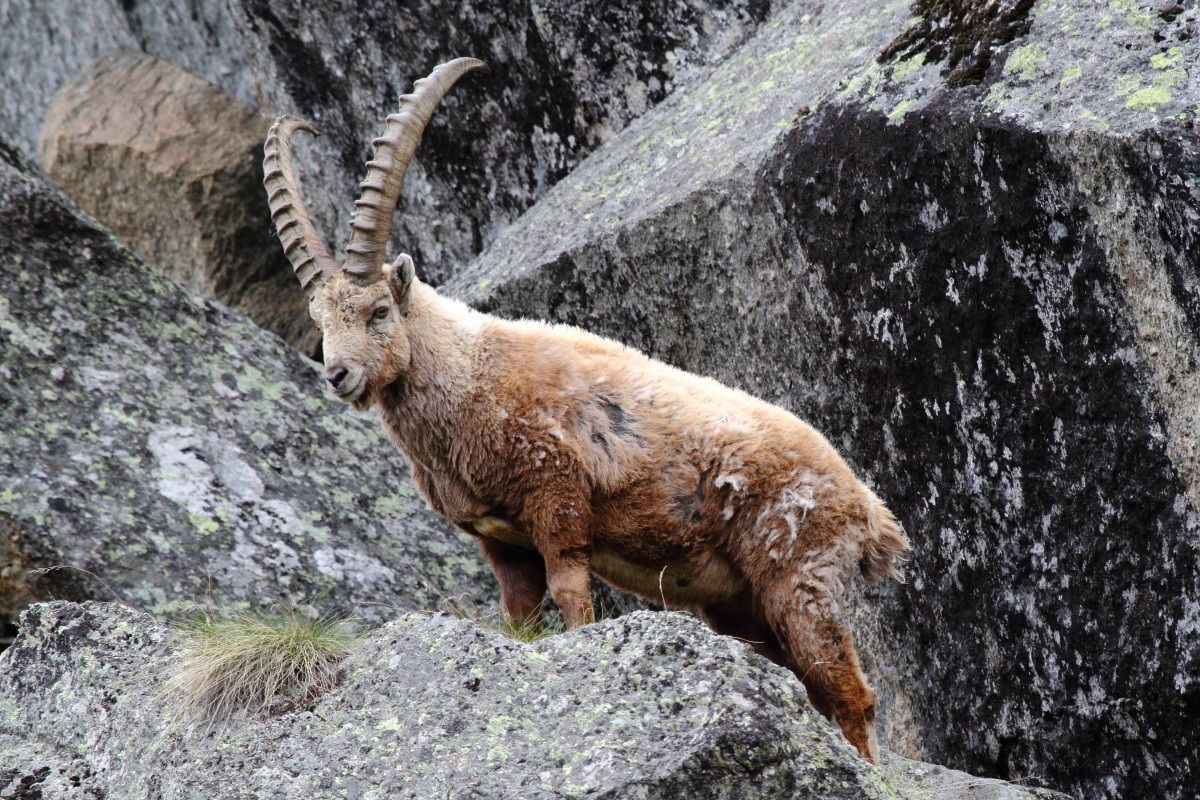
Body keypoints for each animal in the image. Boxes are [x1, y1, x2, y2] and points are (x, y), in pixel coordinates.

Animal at [262, 58, 909, 762]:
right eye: (321, 321)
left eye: (379, 311)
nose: (338, 375)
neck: (470, 376)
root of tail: (867, 507)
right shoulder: (501, 541)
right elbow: (519, 615)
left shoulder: (559, 497)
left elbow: (571, 595)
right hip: (741, 605)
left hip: (799, 576)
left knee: (851, 694)